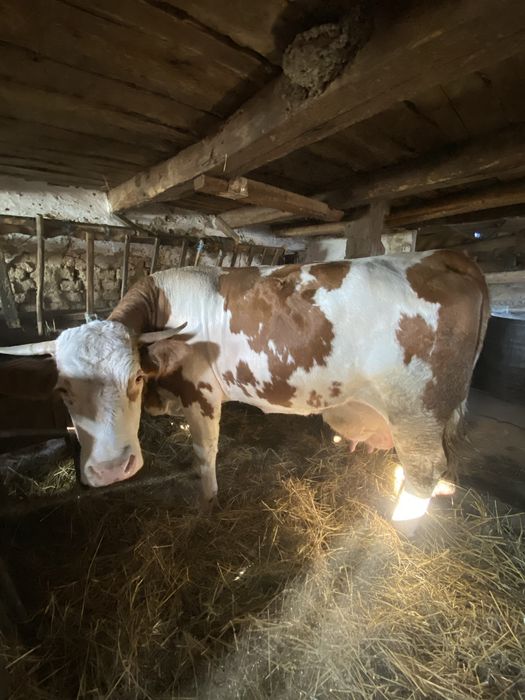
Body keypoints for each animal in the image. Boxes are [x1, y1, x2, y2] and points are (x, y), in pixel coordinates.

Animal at [0, 250, 489, 527]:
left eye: (136, 378)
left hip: (418, 408)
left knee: (424, 469)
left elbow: (205, 453)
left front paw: (207, 504)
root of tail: (446, 256)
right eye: (63, 391)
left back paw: (401, 527)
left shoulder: (201, 393)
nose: (110, 471)